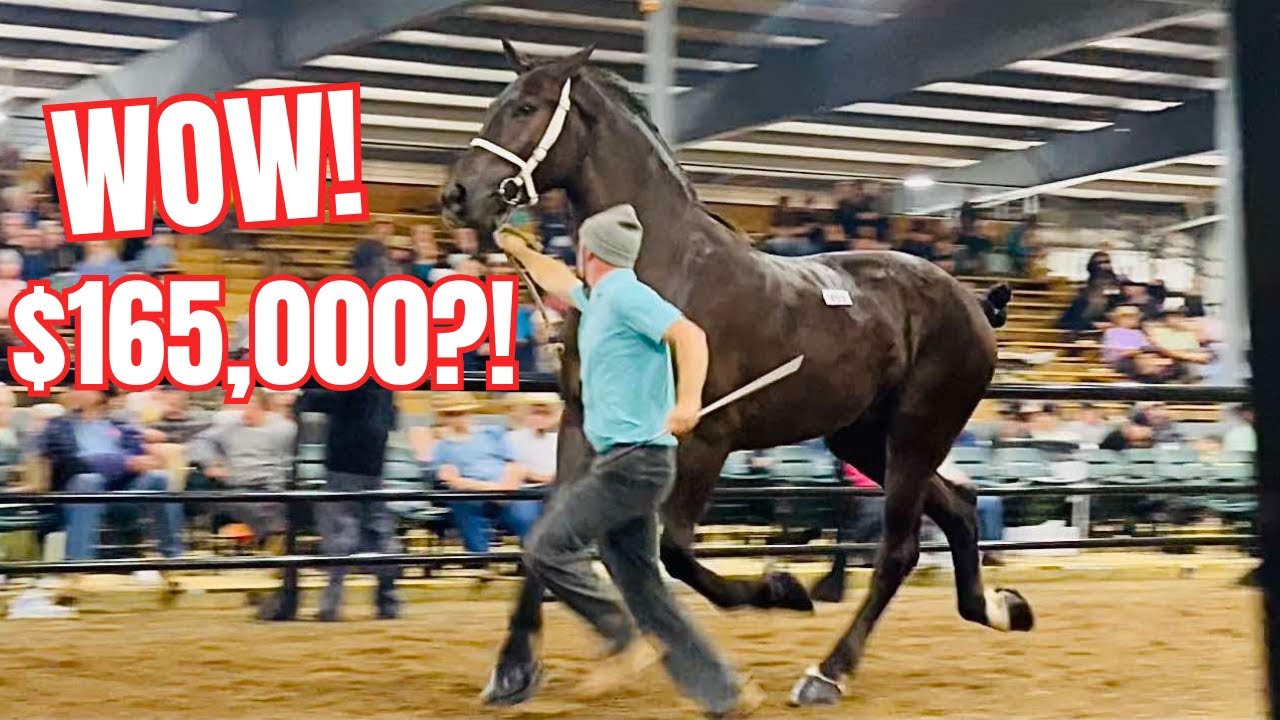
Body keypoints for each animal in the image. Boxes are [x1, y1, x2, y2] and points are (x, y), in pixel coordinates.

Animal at [442, 43, 1033, 708]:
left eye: (524, 107)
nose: (459, 194)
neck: (662, 266)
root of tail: (974, 301)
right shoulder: (583, 424)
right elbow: (543, 542)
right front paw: (512, 670)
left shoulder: (707, 435)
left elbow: (674, 553)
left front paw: (782, 589)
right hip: (861, 438)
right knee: (959, 506)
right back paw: (999, 609)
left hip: (915, 433)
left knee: (898, 549)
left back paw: (826, 673)